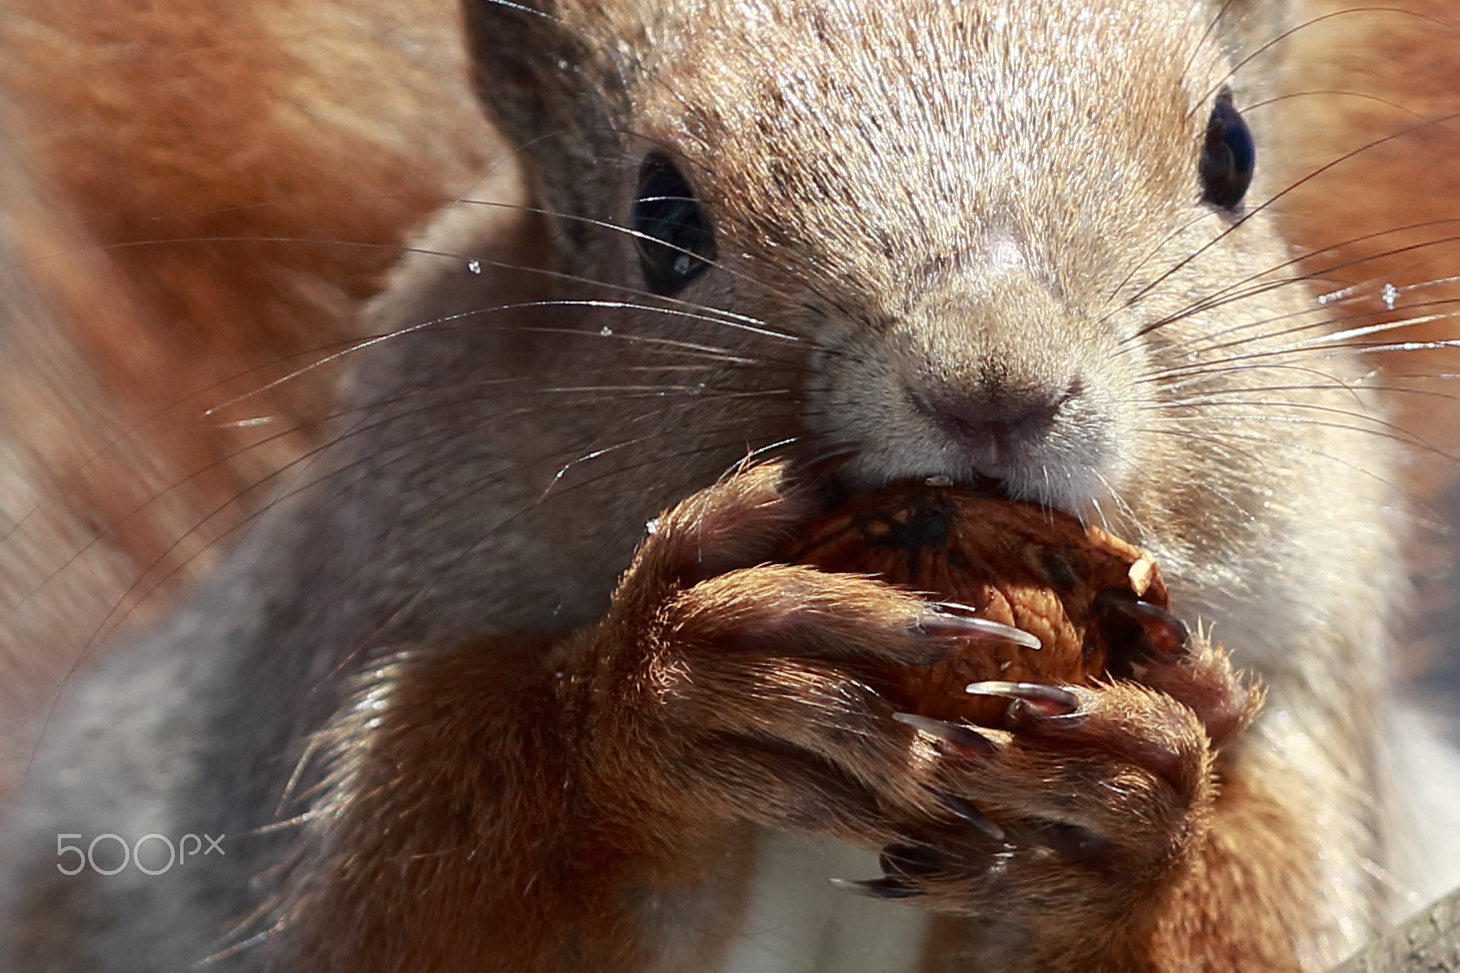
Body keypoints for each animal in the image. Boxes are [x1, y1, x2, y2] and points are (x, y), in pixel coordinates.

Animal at [2, 0, 1460, 970]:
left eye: (1230, 155)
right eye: (659, 218)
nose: (993, 382)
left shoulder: (1305, 700)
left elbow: (1248, 918)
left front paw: (1127, 841)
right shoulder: (361, 626)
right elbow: (425, 908)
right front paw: (662, 695)